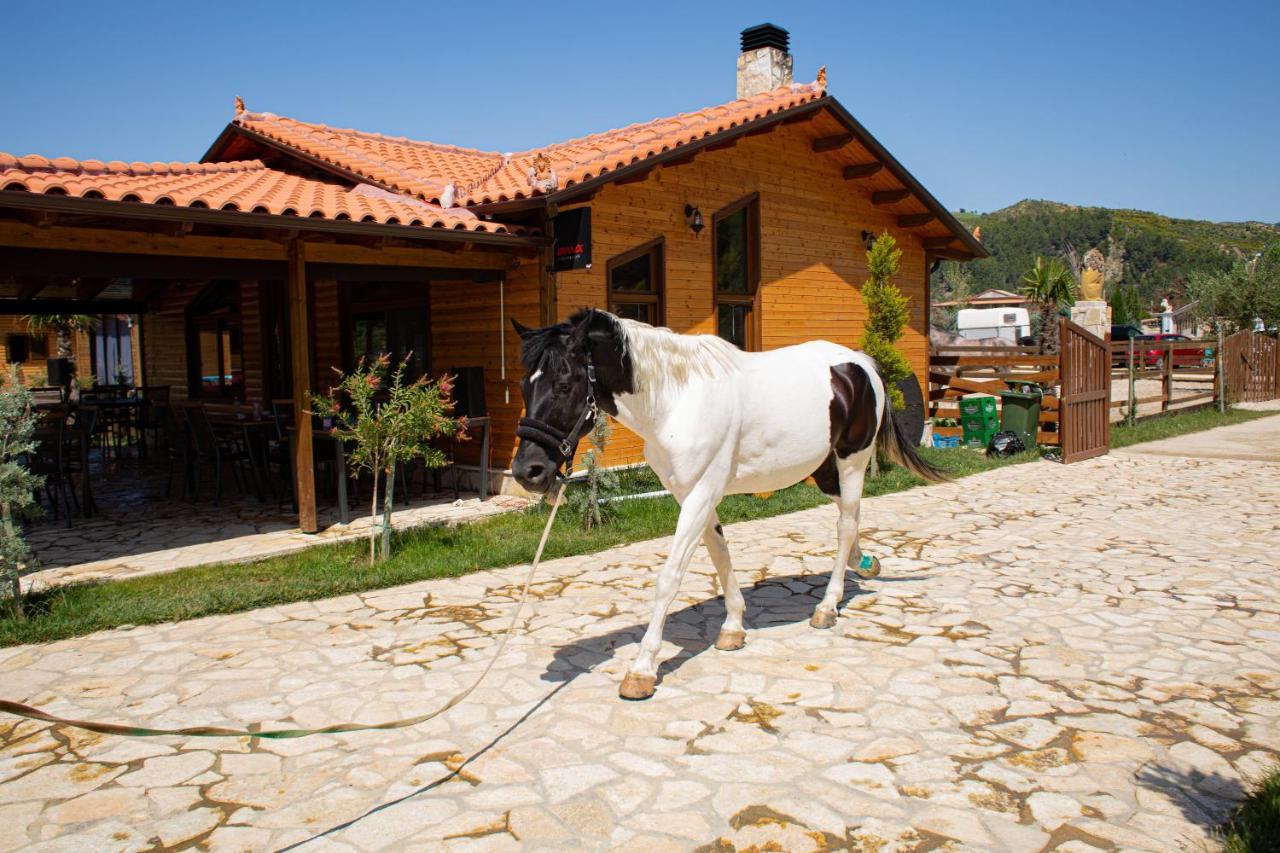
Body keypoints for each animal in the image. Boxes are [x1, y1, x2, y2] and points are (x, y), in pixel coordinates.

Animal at [506, 308, 942, 696]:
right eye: (525, 386)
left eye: (565, 385)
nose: (529, 472)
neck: (676, 401)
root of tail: (861, 364)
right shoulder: (693, 493)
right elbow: (719, 554)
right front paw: (733, 628)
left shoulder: (699, 494)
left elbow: (670, 578)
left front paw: (642, 670)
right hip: (823, 469)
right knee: (849, 517)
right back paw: (864, 562)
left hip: (853, 460)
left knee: (846, 523)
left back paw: (827, 607)